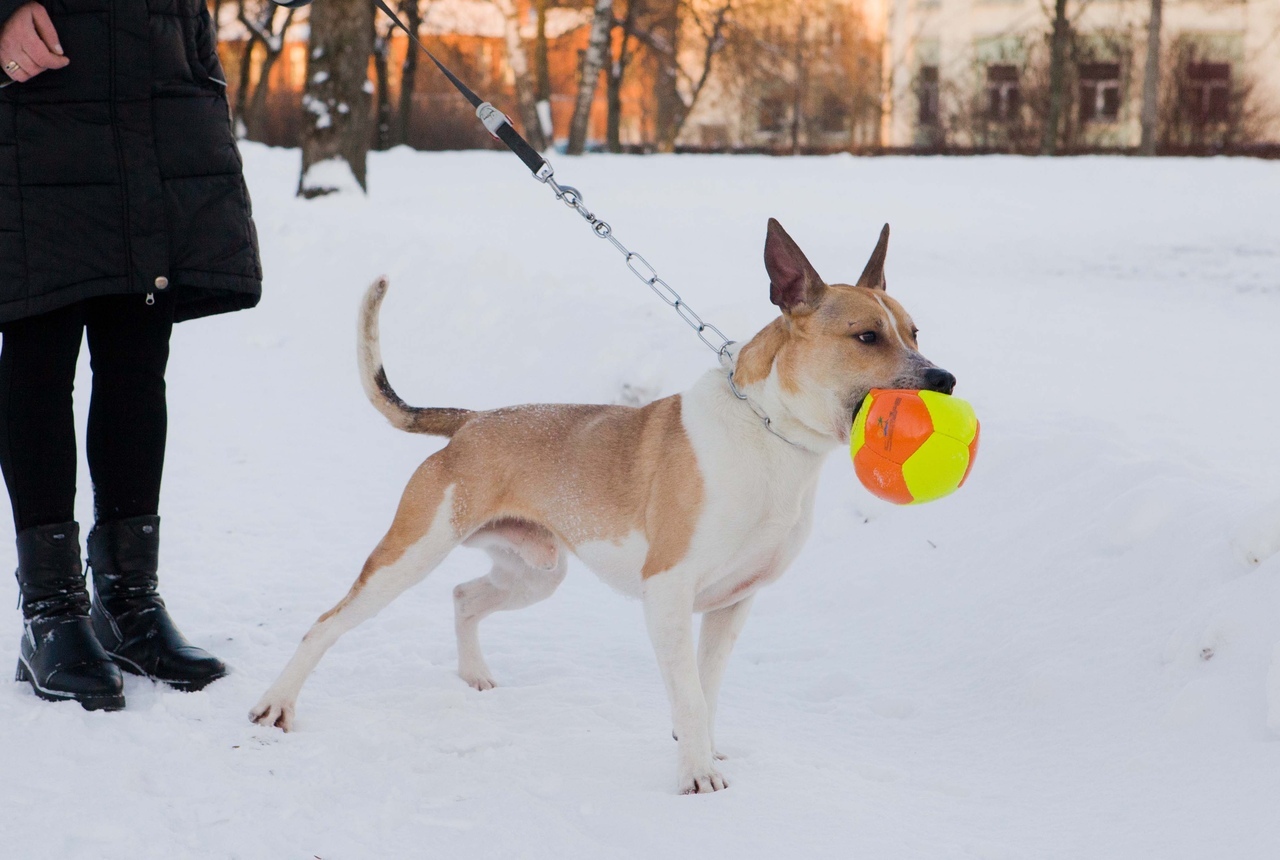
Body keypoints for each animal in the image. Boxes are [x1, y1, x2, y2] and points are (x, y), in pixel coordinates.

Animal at [249, 220, 957, 793]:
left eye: (915, 331)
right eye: (866, 336)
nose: (945, 381)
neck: (768, 434)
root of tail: (473, 423)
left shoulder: (732, 604)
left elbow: (705, 688)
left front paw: (700, 749)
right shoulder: (668, 592)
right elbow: (689, 696)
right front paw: (697, 774)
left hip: (535, 571)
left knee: (464, 596)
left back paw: (473, 674)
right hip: (409, 554)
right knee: (326, 624)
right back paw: (277, 705)